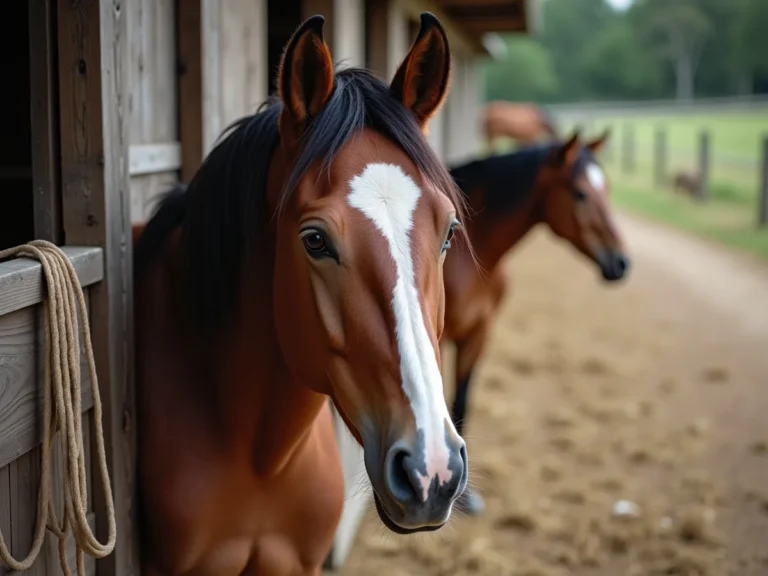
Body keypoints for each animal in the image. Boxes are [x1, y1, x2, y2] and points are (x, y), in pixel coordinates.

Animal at [442, 130, 629, 514]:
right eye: (580, 193)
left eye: (606, 189)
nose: (621, 262)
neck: (470, 257)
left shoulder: (478, 335)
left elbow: (461, 403)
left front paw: (465, 495)